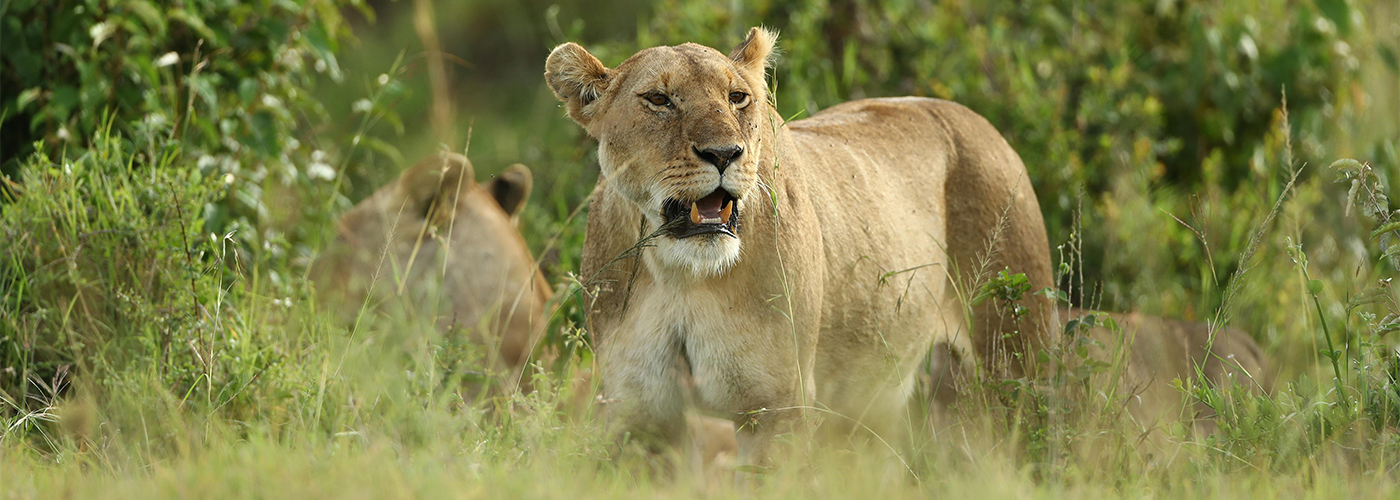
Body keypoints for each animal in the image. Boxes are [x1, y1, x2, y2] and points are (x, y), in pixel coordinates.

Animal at [546, 27, 1056, 466]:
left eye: (737, 98)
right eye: (658, 99)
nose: (724, 154)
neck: (681, 275)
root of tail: (979, 120)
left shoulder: (777, 405)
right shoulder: (641, 416)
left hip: (1016, 365)